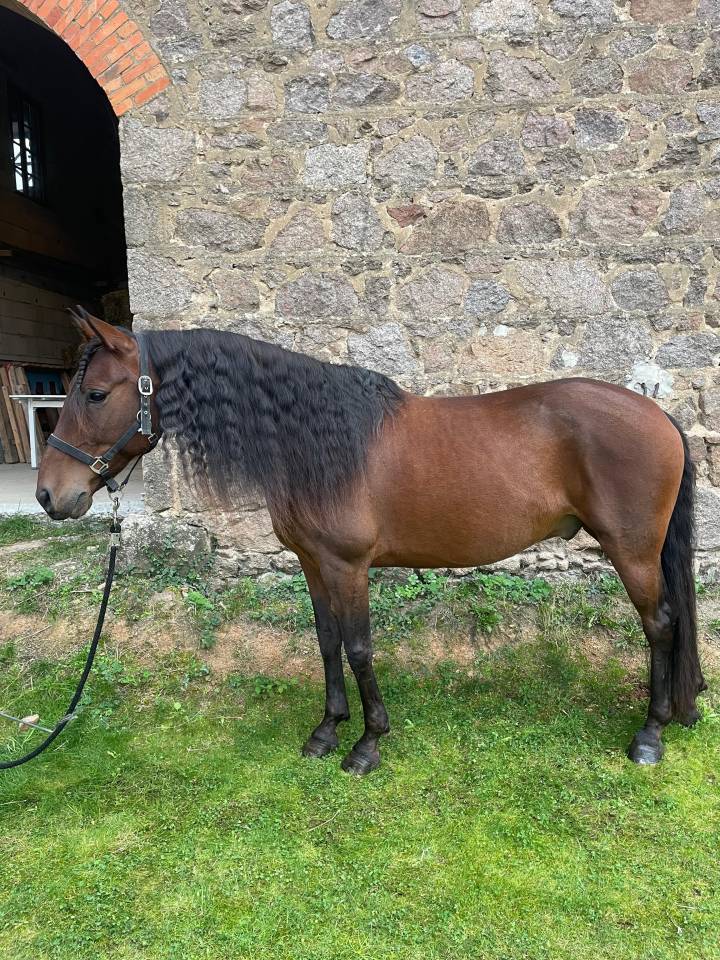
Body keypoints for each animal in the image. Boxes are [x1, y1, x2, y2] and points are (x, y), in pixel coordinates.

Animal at [36, 308, 706, 775]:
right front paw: (326, 731)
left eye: (95, 393)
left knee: (661, 623)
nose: (48, 495)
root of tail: (660, 416)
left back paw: (650, 734)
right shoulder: (313, 564)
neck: (315, 437)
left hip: (632, 551)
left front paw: (366, 744)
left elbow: (359, 648)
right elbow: (328, 643)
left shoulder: (348, 566)